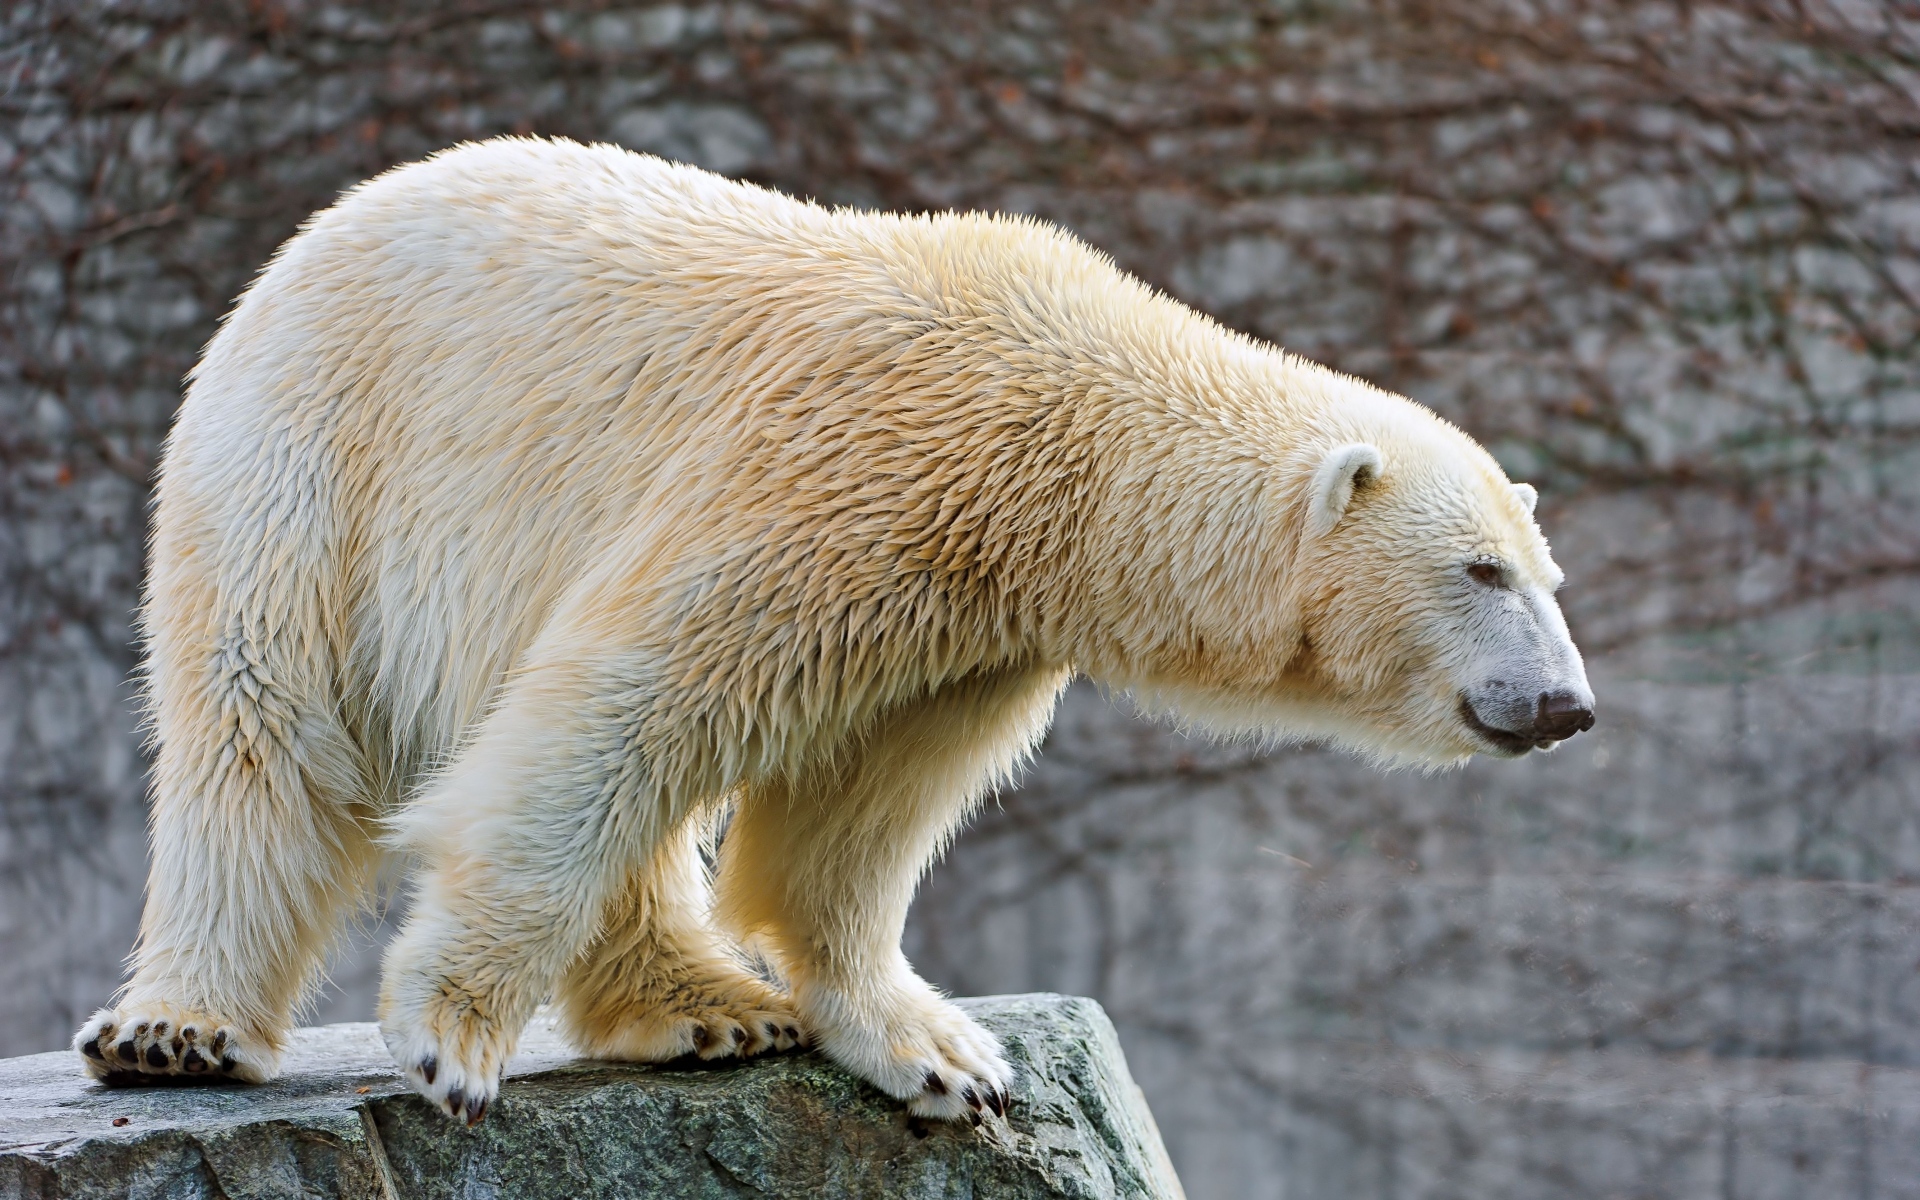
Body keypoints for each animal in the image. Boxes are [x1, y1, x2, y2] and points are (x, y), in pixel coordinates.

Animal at [74, 136, 1593, 1124]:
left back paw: (705, 1005)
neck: (1058, 426)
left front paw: (941, 1055)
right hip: (316, 460)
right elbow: (613, 712)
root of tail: (314, 232)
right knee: (262, 724)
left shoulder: (966, 616)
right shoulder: (833, 482)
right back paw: (174, 1030)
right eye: (1478, 572)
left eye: (1548, 575)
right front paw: (449, 1036)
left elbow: (855, 814)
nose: (1567, 705)